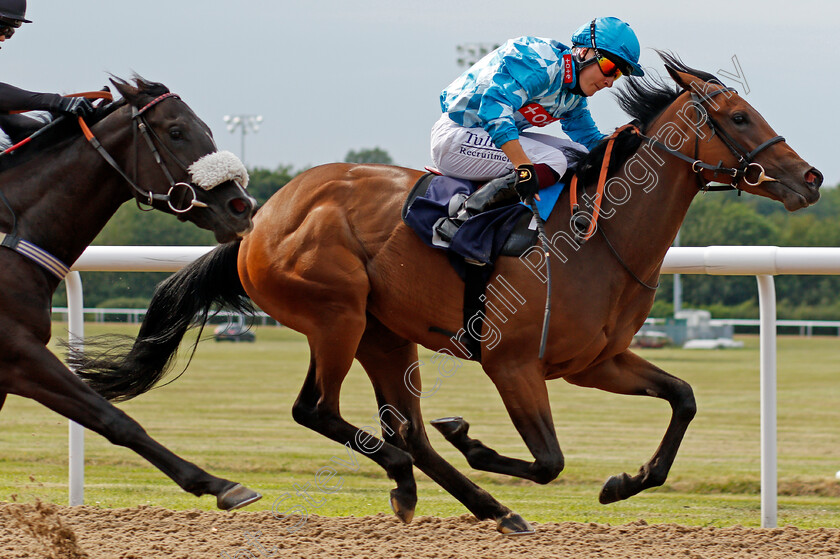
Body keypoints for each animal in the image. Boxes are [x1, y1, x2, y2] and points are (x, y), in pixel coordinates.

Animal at [0, 77, 262, 512]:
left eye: (208, 129)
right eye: (176, 131)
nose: (242, 206)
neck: (11, 235)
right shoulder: (18, 353)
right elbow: (114, 419)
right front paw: (219, 483)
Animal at [75, 55, 824, 532]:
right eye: (739, 117)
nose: (812, 178)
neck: (596, 237)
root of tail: (259, 222)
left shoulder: (595, 362)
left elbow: (684, 397)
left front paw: (624, 482)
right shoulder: (512, 362)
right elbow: (549, 460)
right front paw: (475, 438)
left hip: (384, 332)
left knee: (401, 427)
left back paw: (479, 503)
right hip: (338, 316)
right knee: (319, 410)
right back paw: (423, 476)